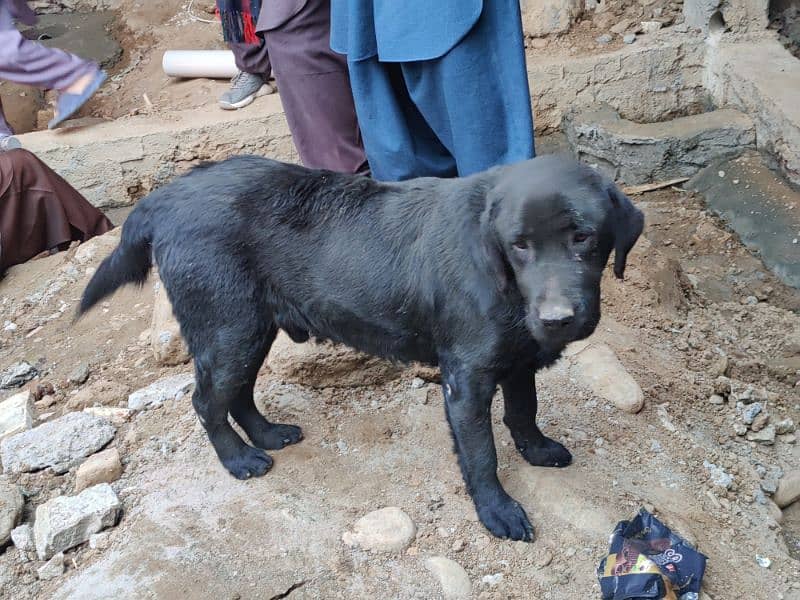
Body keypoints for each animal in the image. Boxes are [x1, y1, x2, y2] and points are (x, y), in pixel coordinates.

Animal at [79, 152, 644, 540]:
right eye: (519, 244)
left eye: (583, 237)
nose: (557, 319)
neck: (503, 280)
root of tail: (164, 196)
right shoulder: (466, 381)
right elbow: (481, 454)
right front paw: (497, 512)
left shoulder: (518, 357)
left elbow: (524, 410)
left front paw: (537, 449)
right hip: (228, 329)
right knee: (206, 401)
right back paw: (238, 460)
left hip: (251, 330)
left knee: (238, 393)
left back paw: (267, 435)